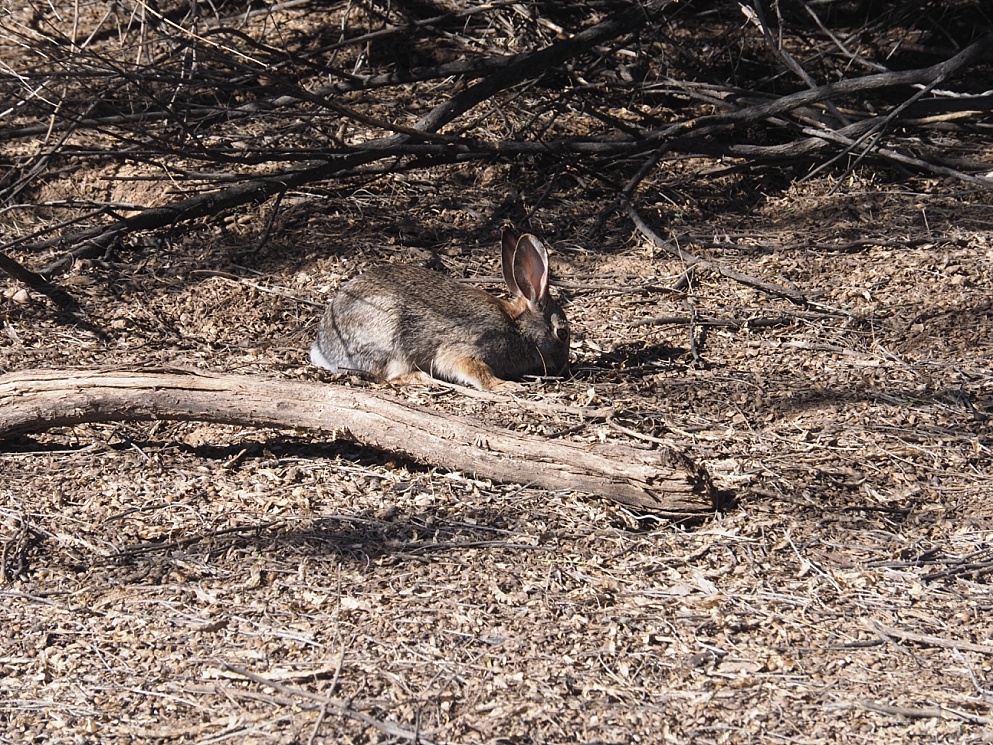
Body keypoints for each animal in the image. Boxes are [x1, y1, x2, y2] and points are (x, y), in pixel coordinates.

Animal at [310, 227, 572, 390]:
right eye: (562, 333)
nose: (563, 367)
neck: (518, 327)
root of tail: (325, 349)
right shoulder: (466, 348)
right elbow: (474, 369)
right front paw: (505, 386)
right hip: (389, 339)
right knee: (389, 375)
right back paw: (424, 379)